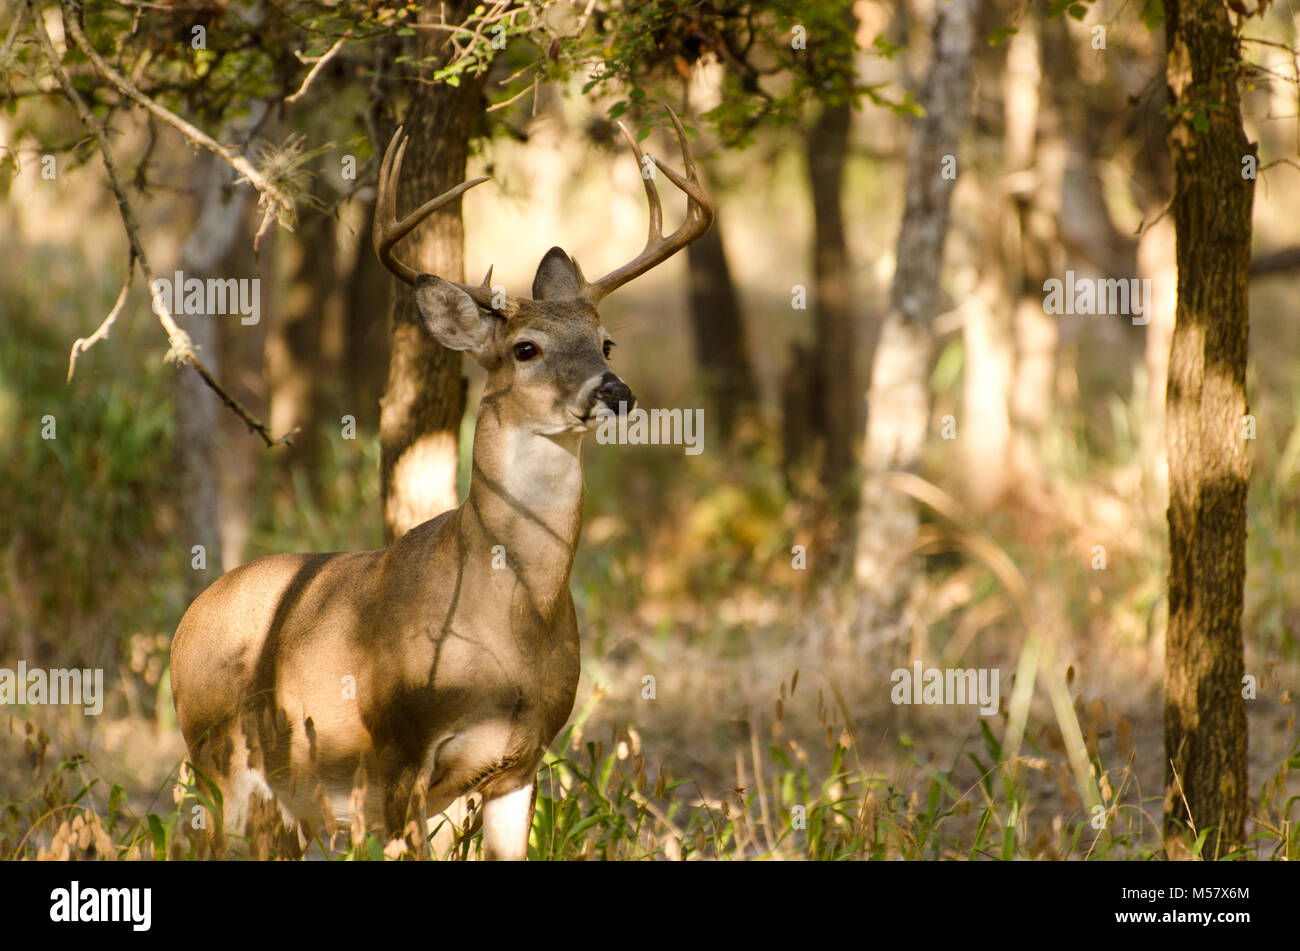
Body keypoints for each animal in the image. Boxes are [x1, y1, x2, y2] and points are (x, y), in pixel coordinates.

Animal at [169, 105, 717, 862]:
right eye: (525, 349)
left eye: (605, 341)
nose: (615, 391)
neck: (509, 621)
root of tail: (185, 622)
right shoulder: (399, 752)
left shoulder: (521, 760)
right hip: (221, 766)